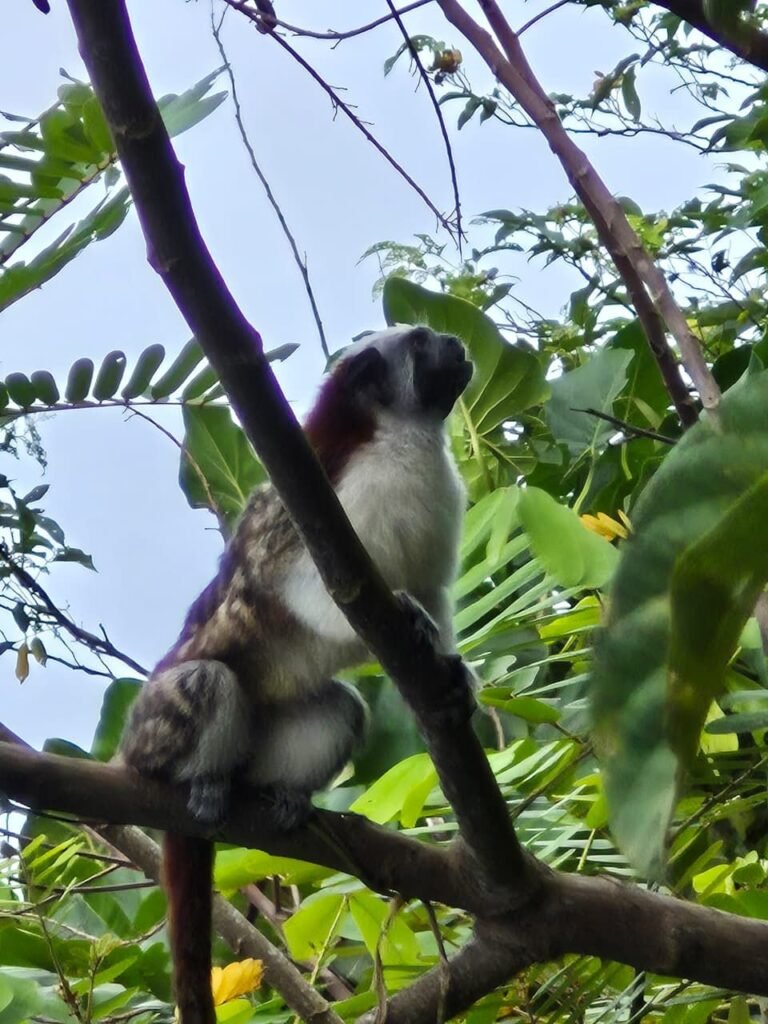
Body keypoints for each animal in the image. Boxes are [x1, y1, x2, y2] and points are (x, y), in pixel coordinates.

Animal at [118, 325, 474, 1024]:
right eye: (423, 344)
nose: (455, 341)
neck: (399, 441)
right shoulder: (327, 506)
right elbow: (321, 594)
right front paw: (404, 614)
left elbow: (435, 596)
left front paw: (451, 673)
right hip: (147, 736)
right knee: (206, 680)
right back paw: (199, 780)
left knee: (341, 707)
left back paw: (280, 793)